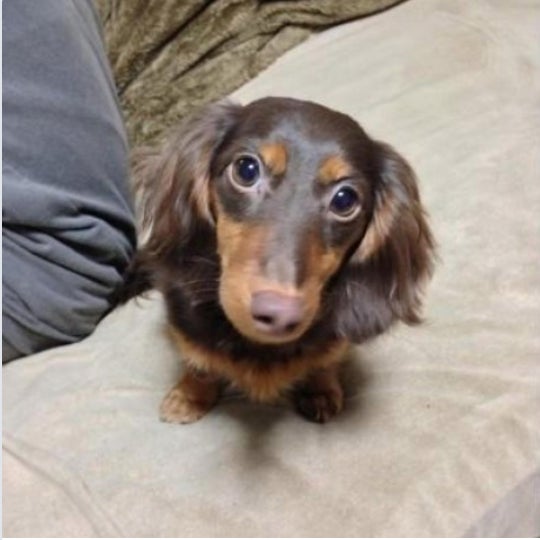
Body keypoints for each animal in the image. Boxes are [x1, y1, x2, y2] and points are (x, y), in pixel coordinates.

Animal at [124, 97, 435, 423]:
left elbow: (325, 360)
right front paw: (189, 396)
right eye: (246, 169)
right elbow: (198, 360)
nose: (280, 314)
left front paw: (320, 389)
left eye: (345, 199)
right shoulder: (185, 323)